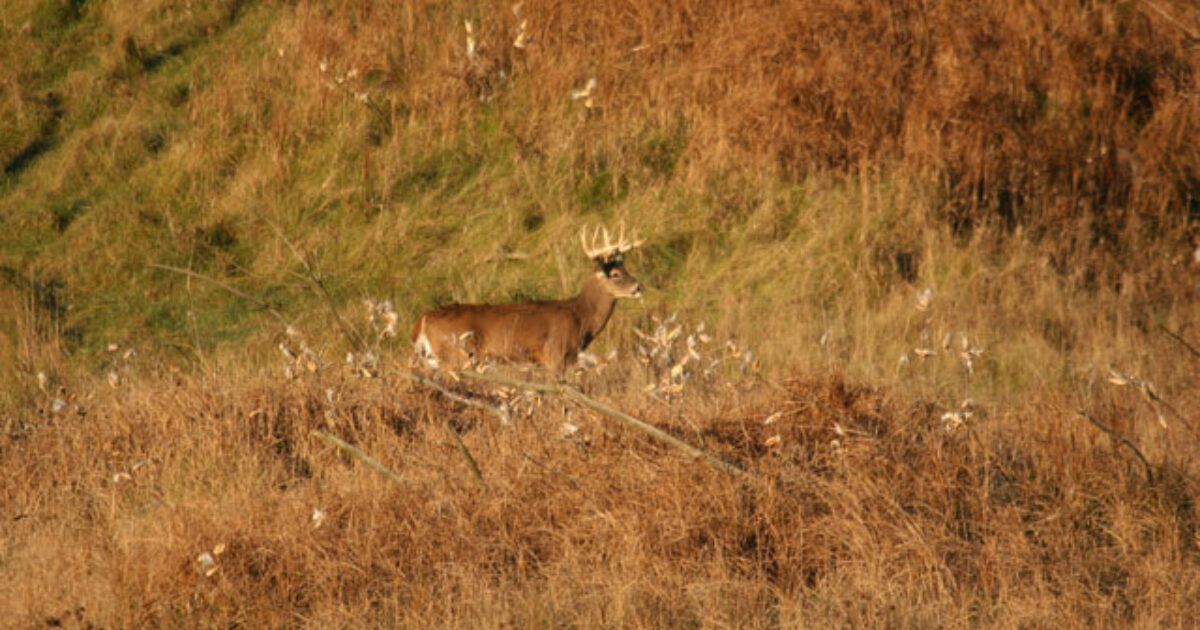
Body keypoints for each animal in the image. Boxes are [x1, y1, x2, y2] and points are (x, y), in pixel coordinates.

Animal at [410, 224, 643, 372]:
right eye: (615, 274)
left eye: (626, 269)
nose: (639, 286)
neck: (580, 317)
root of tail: (422, 319)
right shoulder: (555, 354)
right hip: (454, 355)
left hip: (432, 359)